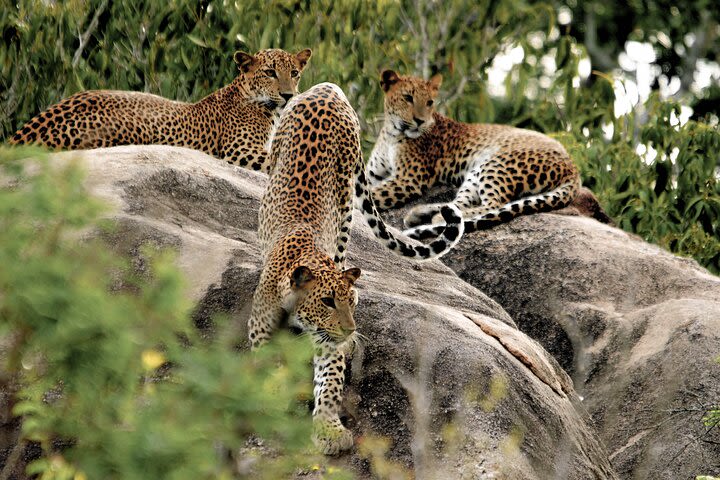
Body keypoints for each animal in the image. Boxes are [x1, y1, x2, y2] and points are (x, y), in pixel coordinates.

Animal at [250, 81, 464, 454]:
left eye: (351, 303)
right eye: (327, 302)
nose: (351, 330)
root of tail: (327, 88)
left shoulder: (327, 342)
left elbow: (330, 381)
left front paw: (329, 429)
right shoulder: (260, 325)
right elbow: (261, 362)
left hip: (346, 196)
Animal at [368, 68, 584, 239]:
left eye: (429, 102)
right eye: (407, 98)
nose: (420, 121)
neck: (391, 132)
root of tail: (574, 167)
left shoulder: (408, 179)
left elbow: (372, 194)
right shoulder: (373, 174)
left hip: (497, 164)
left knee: (494, 204)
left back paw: (434, 218)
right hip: (476, 171)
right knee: (458, 203)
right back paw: (421, 214)